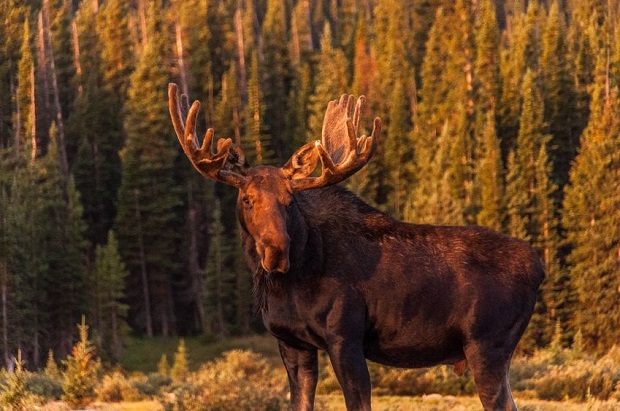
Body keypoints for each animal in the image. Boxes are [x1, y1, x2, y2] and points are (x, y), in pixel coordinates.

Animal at [168, 82, 544, 410]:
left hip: (487, 347)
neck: (287, 286)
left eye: (290, 200)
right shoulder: (292, 343)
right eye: (247, 199)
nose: (276, 252)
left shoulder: (345, 337)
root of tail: (538, 266)